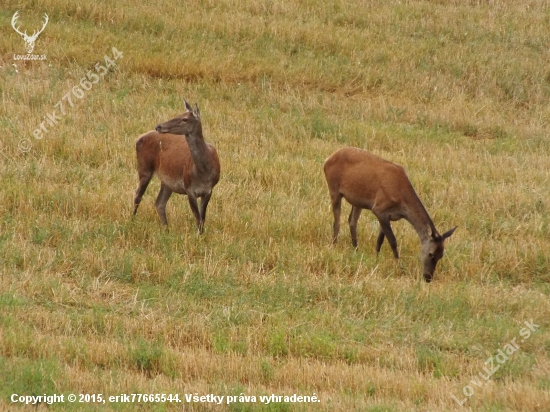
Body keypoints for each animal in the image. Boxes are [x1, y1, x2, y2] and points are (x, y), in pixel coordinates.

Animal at [133, 100, 220, 233]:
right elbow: (198, 218)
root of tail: (139, 138)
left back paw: (166, 229)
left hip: (167, 182)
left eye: (185, 119)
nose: (159, 126)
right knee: (138, 195)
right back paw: (131, 221)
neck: (203, 172)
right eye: (179, 114)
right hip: (144, 168)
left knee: (159, 203)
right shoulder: (189, 188)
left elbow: (202, 219)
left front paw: (202, 235)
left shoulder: (209, 190)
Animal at [324, 146, 458, 282]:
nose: (428, 277)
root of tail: (328, 158)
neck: (401, 204)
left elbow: (380, 239)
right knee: (337, 221)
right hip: (333, 188)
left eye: (441, 255)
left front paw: (376, 257)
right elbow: (392, 240)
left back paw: (356, 249)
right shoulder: (379, 208)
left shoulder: (387, 215)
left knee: (352, 221)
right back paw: (334, 245)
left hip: (358, 200)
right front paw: (398, 265)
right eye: (431, 254)